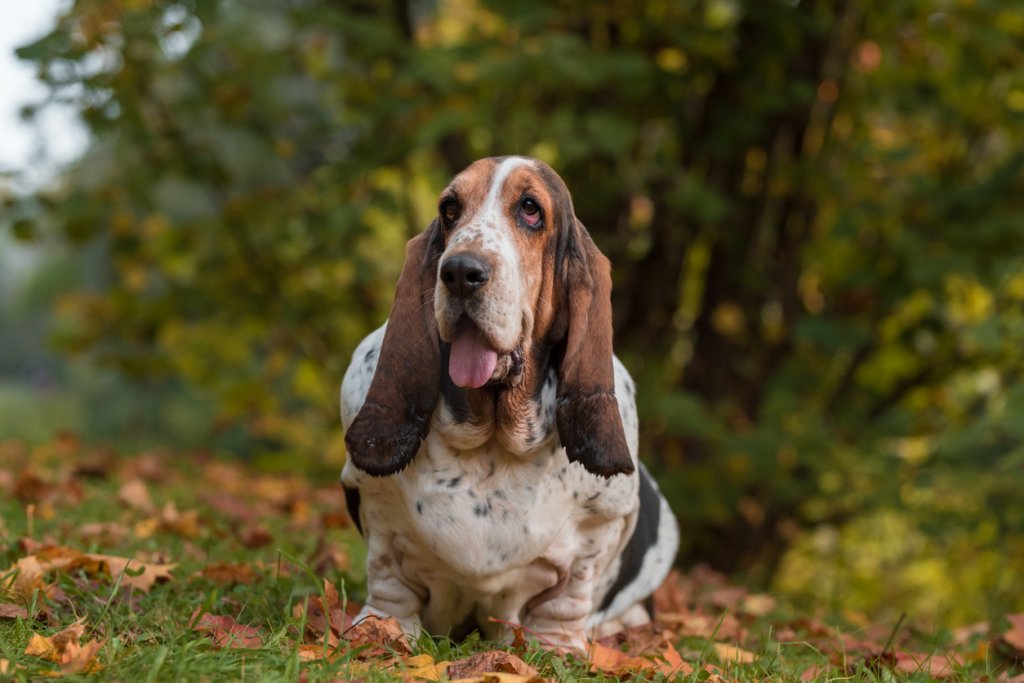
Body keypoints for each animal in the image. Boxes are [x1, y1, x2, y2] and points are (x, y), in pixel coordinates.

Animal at [339, 156, 679, 651]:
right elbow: (388, 577)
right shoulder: (376, 505)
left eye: (530, 209)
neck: (492, 443)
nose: (460, 272)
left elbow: (568, 596)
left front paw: (557, 648)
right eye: (449, 209)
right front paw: (383, 629)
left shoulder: (599, 529)